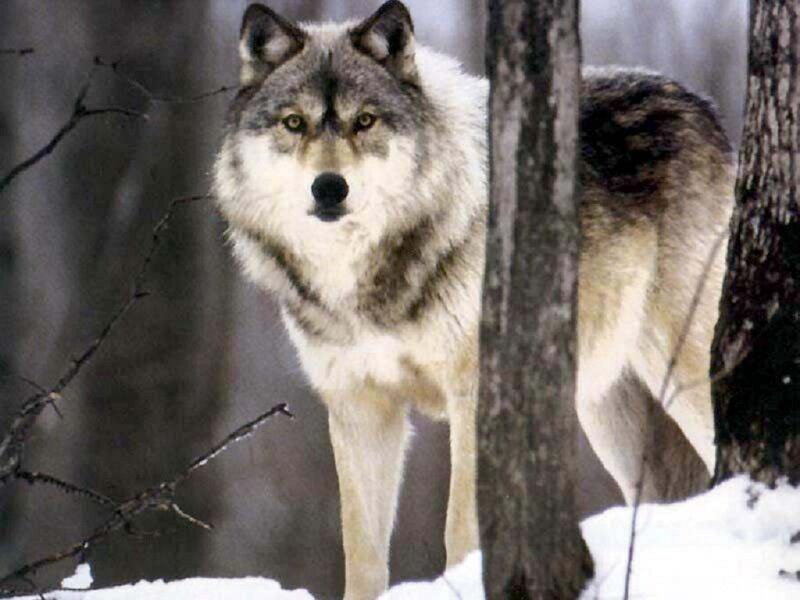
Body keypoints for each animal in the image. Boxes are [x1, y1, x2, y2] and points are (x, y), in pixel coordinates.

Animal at [214, 2, 734, 598]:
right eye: (294, 123)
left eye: (364, 121)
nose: (329, 187)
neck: (363, 280)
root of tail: (701, 103)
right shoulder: (359, 406)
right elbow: (362, 552)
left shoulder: (474, 393)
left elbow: (461, 527)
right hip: (607, 411)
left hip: (685, 373)